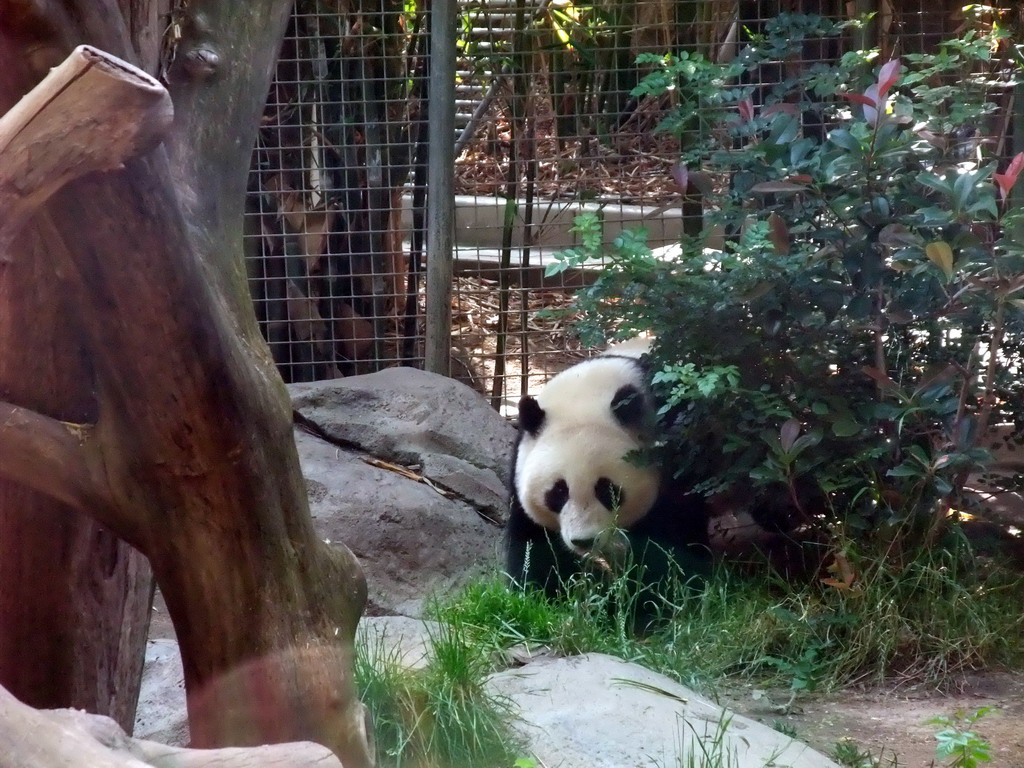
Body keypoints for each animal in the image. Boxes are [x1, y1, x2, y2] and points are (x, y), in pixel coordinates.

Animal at [503, 339, 712, 598]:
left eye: (607, 490)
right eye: (558, 492)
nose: (584, 541)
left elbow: (672, 536)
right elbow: (533, 539)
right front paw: (541, 592)